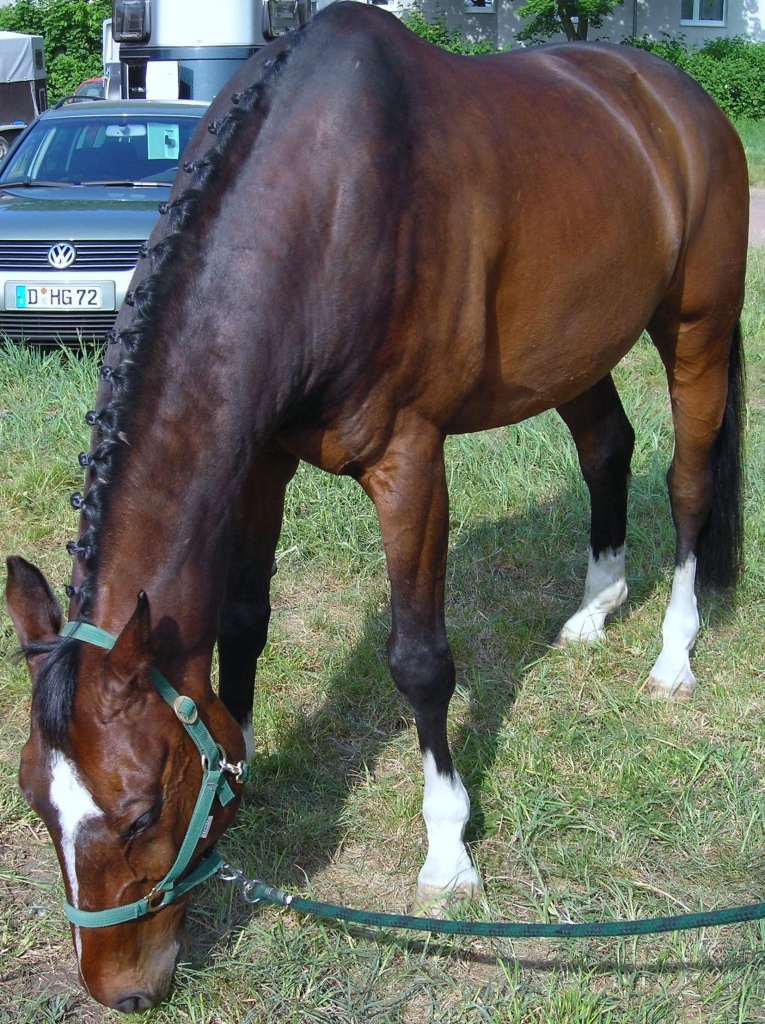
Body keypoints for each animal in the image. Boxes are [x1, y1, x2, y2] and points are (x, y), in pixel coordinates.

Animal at [5, 2, 748, 1011]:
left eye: (140, 811)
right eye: (37, 803)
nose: (120, 989)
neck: (326, 206)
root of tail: (679, 97)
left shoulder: (410, 460)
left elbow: (420, 662)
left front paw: (448, 850)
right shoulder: (263, 458)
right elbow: (243, 620)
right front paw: (248, 763)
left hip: (696, 325)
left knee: (686, 483)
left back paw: (672, 653)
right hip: (574, 346)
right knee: (606, 447)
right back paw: (595, 609)